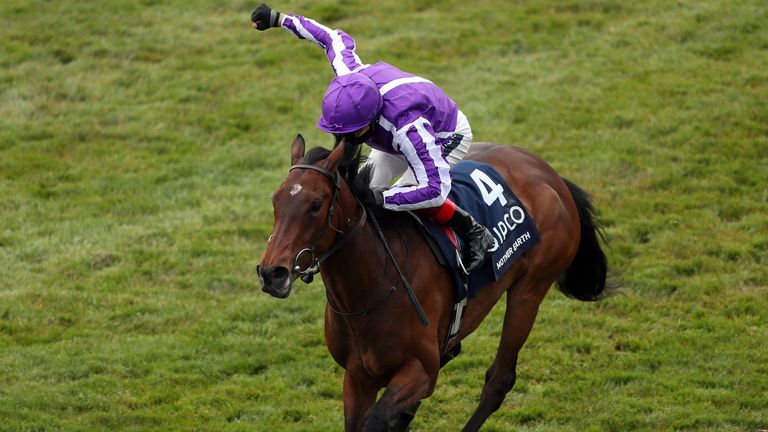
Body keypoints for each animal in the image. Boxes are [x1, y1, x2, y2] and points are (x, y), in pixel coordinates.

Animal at [260, 133, 608, 430]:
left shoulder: (422, 371)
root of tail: (548, 172)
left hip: (530, 290)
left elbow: (378, 419)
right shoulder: (358, 376)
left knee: (499, 380)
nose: (271, 273)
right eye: (275, 201)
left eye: (316, 205)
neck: (374, 285)